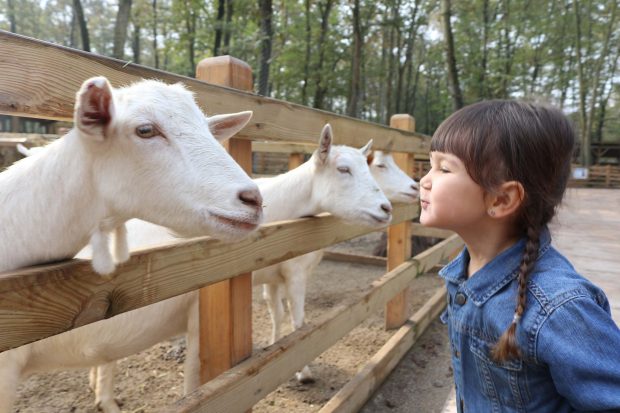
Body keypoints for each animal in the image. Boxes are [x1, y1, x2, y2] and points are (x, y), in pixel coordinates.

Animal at [3, 123, 392, 412]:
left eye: (368, 166)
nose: (386, 208)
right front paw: (304, 371)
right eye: (343, 169)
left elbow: (279, 313)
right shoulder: (207, 311)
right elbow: (295, 321)